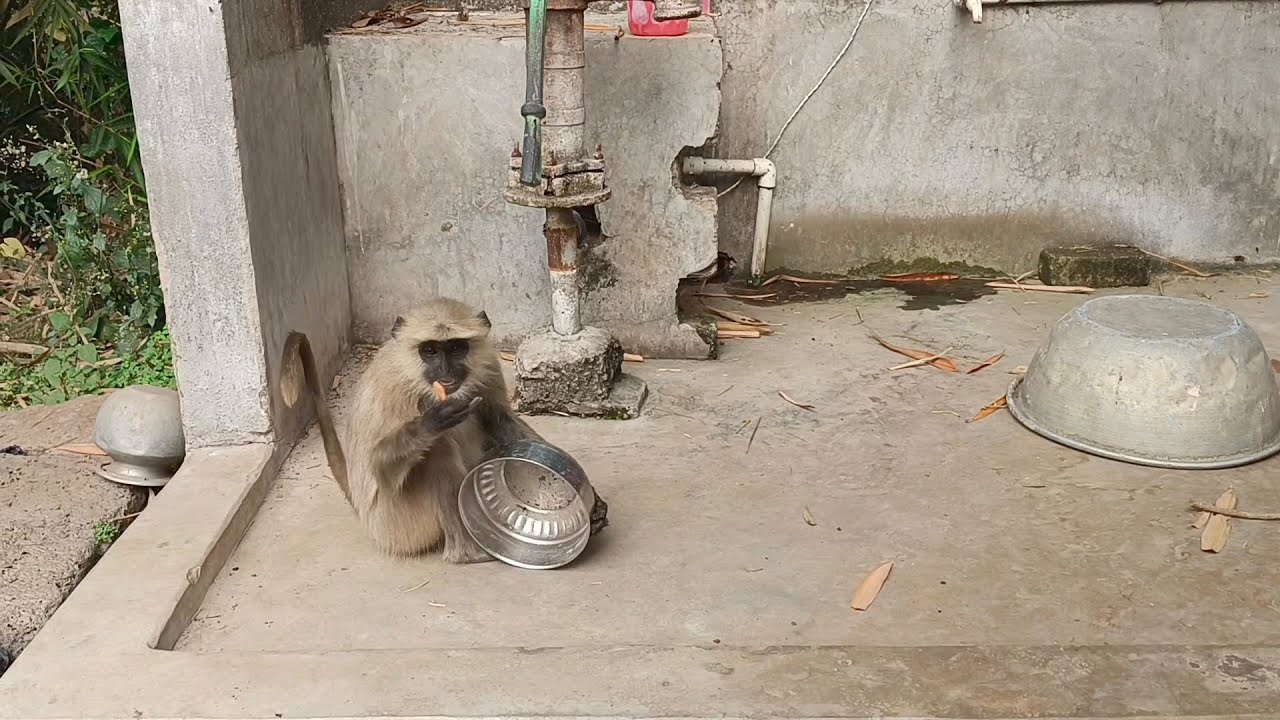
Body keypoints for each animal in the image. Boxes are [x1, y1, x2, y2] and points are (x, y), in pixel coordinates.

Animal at [284, 298, 608, 564]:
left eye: (455, 348)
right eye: (429, 351)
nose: (445, 371)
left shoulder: (488, 365)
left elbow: (499, 418)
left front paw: (590, 497)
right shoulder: (394, 386)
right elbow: (380, 469)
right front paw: (432, 422)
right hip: (397, 527)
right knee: (437, 450)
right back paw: (467, 554)